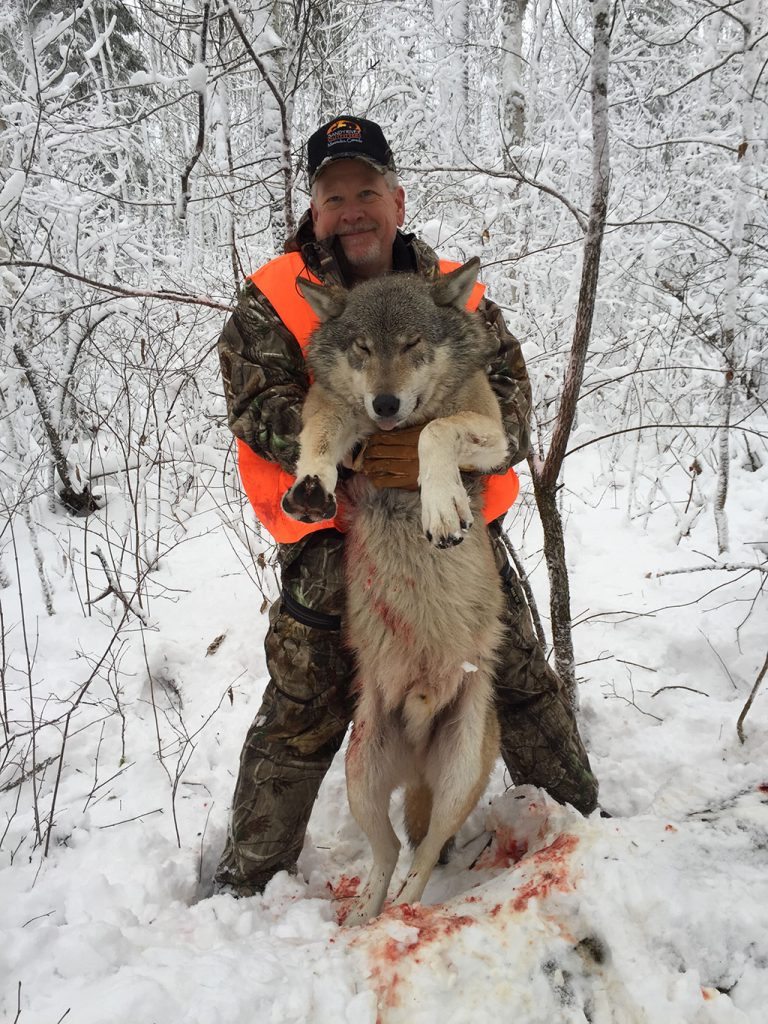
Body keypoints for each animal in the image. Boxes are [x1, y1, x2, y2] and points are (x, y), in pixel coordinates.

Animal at [281, 258, 508, 926]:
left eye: (411, 345)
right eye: (362, 348)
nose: (385, 402)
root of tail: (420, 717)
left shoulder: (494, 432)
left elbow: (435, 432)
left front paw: (442, 507)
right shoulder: (333, 413)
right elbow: (320, 438)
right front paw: (311, 486)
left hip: (459, 771)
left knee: (426, 853)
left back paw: (410, 911)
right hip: (362, 774)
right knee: (386, 854)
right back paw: (365, 916)